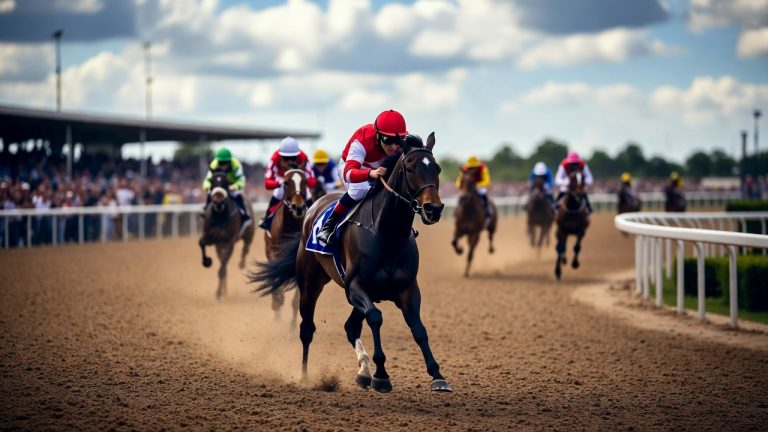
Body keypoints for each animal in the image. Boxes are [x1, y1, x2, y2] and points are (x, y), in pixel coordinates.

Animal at [199, 172, 255, 302]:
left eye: (226, 183)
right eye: (213, 181)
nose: (218, 201)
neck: (220, 215)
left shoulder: (230, 241)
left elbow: (222, 269)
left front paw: (218, 294)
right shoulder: (213, 238)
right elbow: (201, 243)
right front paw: (206, 261)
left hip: (249, 234)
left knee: (246, 248)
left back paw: (241, 263)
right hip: (219, 246)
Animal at [265, 169, 309, 325]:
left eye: (305, 182)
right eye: (286, 182)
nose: (298, 207)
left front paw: (292, 325)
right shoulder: (273, 254)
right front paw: (277, 301)